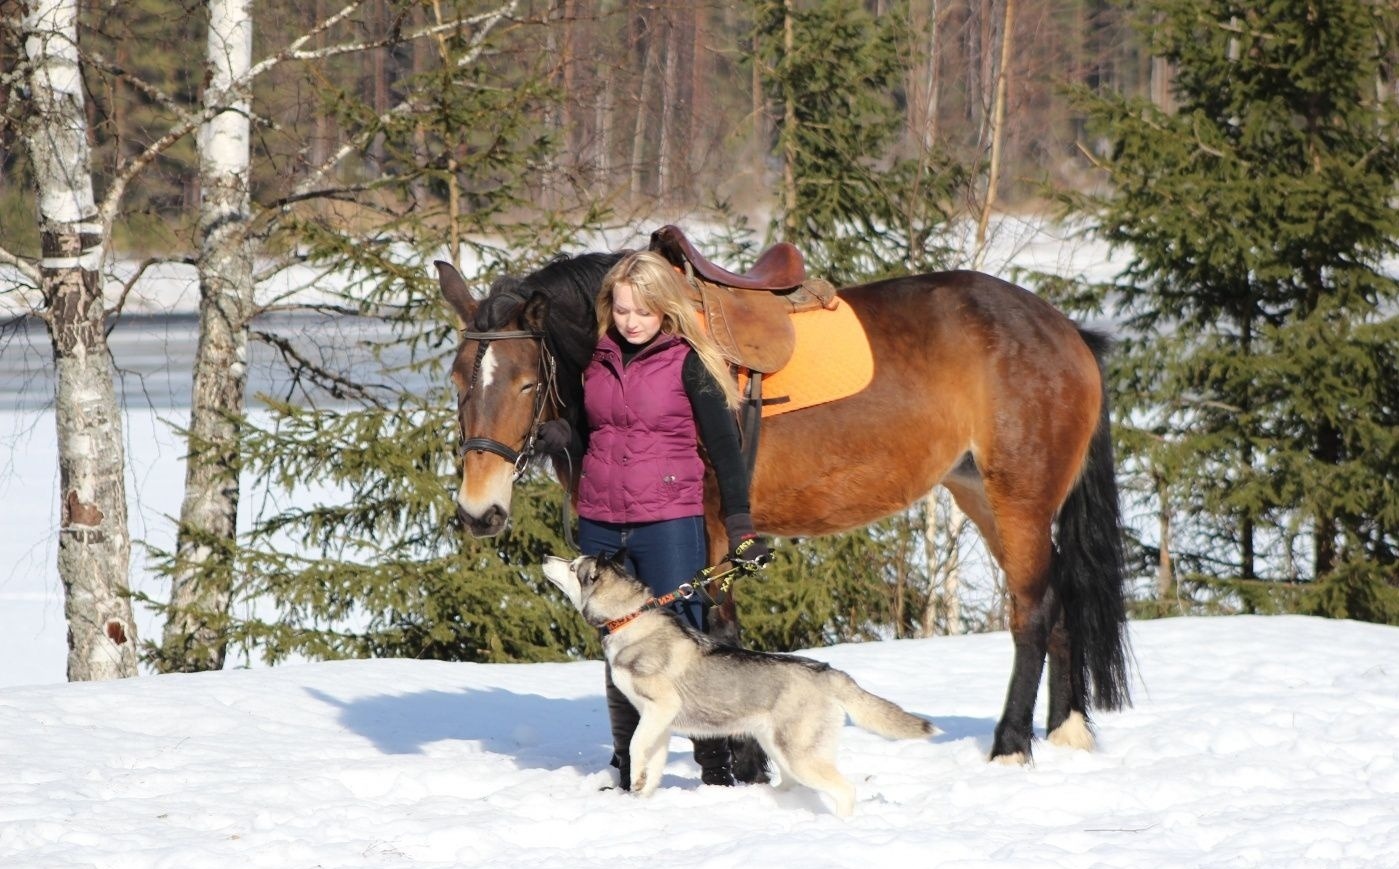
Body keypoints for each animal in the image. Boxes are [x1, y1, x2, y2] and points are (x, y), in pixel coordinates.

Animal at [434, 248, 1131, 772]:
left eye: (527, 381)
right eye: (459, 379)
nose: (478, 511)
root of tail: (1065, 330)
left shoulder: (713, 532)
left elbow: (717, 632)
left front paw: (738, 766)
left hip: (1019, 498)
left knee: (1032, 611)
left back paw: (1011, 744)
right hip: (980, 494)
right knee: (1057, 600)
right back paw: (1067, 732)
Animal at [541, 551, 937, 817]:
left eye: (574, 566)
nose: (546, 556)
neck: (629, 618)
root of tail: (826, 670)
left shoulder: (661, 708)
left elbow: (637, 746)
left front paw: (636, 783)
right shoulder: (659, 722)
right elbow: (652, 762)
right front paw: (642, 797)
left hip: (800, 754)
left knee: (845, 789)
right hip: (778, 747)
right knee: (791, 784)